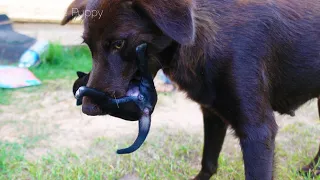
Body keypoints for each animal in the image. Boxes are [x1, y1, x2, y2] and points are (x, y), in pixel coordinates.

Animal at [62, 0, 320, 179]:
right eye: (88, 46)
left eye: (118, 43)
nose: (87, 108)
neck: (201, 37)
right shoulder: (213, 114)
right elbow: (208, 161)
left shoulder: (258, 131)